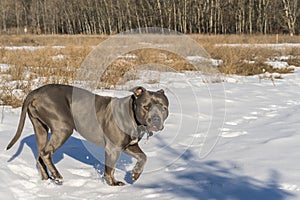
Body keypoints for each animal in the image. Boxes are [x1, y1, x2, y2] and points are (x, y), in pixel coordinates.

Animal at [6, 83, 169, 185]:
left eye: (164, 108)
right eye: (146, 106)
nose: (156, 119)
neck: (132, 114)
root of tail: (35, 92)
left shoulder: (129, 145)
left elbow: (143, 157)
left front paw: (135, 174)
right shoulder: (113, 148)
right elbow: (110, 169)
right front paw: (113, 184)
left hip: (40, 128)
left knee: (40, 154)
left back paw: (47, 179)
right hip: (63, 127)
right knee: (46, 153)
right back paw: (58, 177)